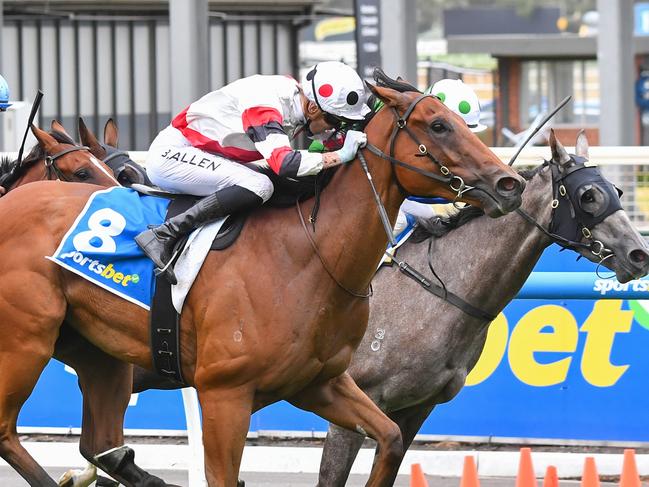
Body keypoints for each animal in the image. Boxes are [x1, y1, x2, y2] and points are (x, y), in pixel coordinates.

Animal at [0, 82, 520, 486]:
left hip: (100, 355)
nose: (509, 183)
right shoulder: (224, 395)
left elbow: (390, 438)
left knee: (102, 445)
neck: (307, 256)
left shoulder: (321, 383)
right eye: (438, 125)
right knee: (8, 432)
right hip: (25, 343)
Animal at [314, 131, 648, 487]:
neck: (437, 292)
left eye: (617, 190)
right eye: (588, 196)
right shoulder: (352, 407)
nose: (639, 254)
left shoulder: (414, 410)